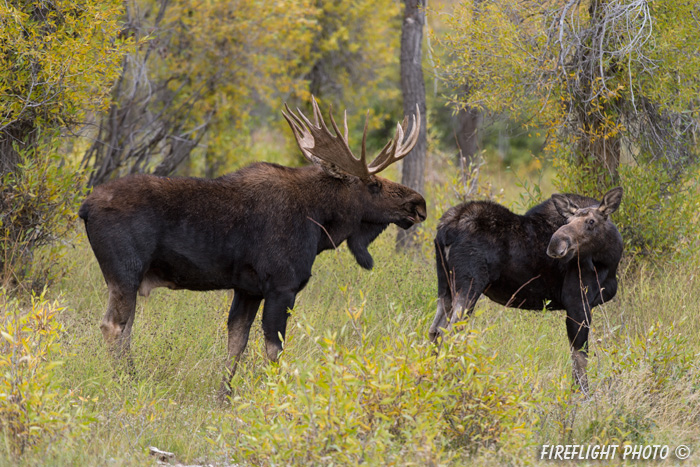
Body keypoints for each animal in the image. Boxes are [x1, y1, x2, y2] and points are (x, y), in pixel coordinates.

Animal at [78, 98, 424, 398]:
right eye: (374, 185)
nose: (419, 204)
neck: (319, 223)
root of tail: (84, 208)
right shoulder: (282, 286)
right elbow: (274, 350)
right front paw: (273, 397)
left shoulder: (248, 289)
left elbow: (236, 343)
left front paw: (223, 397)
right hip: (125, 273)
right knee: (114, 326)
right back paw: (128, 382)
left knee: (125, 328)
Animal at [430, 187, 628, 392]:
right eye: (568, 221)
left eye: (591, 221)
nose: (555, 244)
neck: (609, 260)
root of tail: (444, 230)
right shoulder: (577, 302)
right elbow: (580, 355)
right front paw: (581, 394)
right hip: (470, 285)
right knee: (450, 333)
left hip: (445, 286)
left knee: (435, 331)